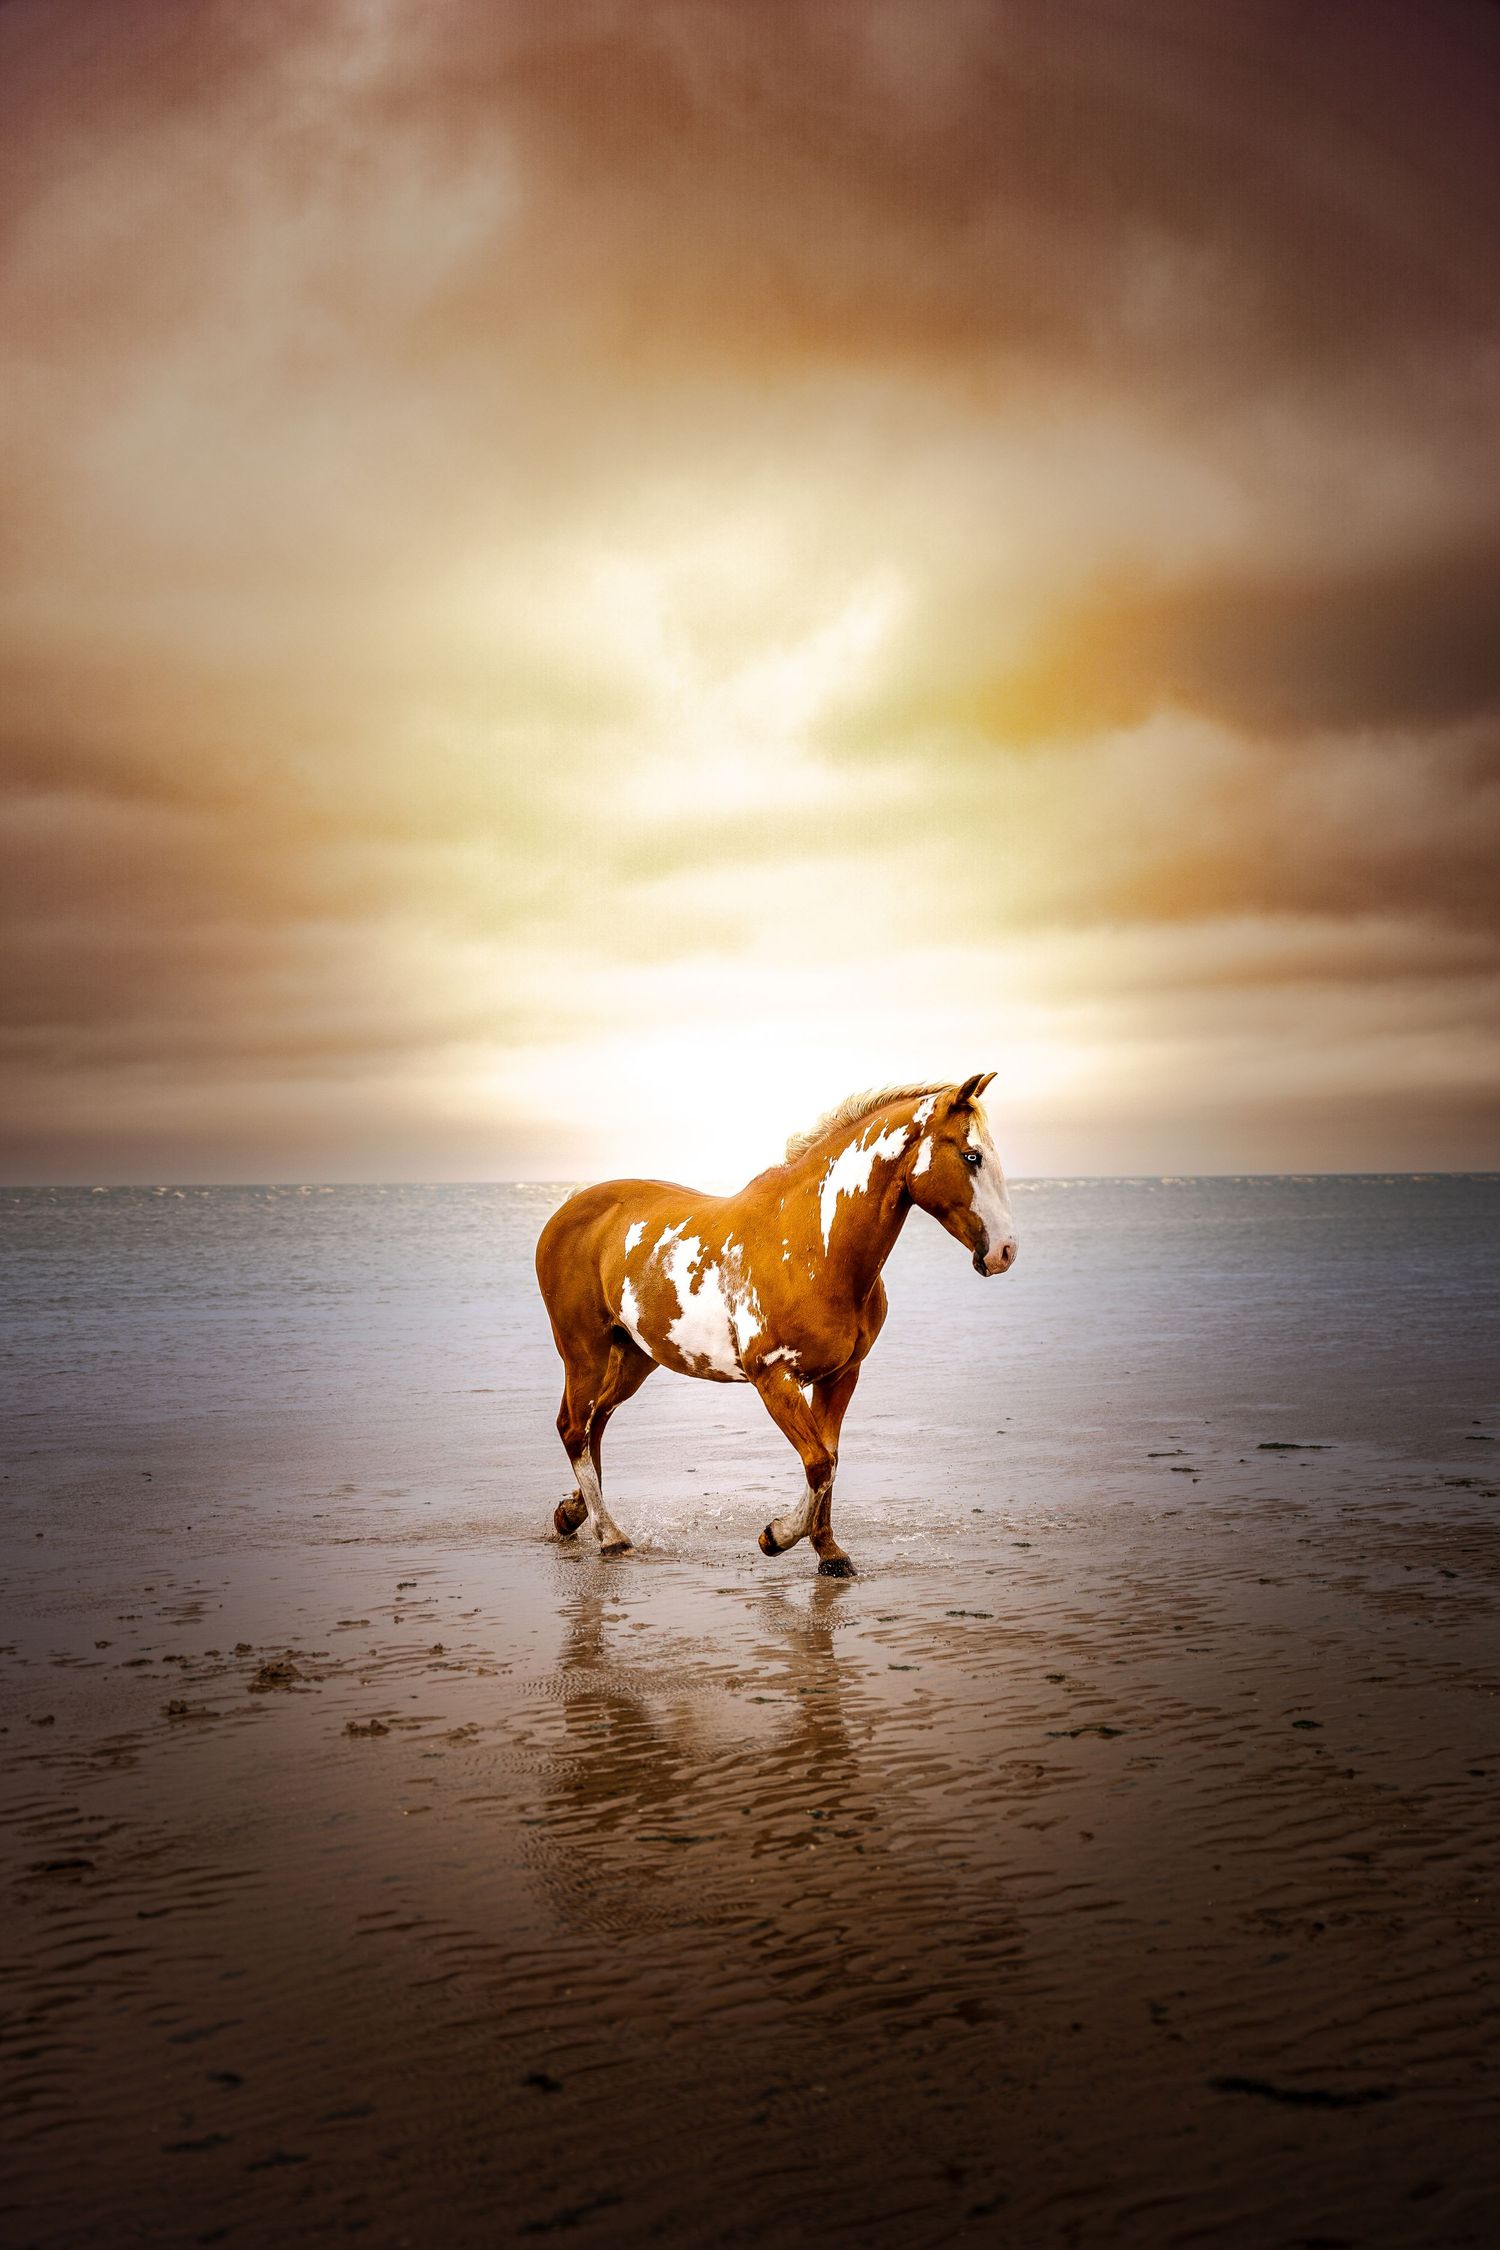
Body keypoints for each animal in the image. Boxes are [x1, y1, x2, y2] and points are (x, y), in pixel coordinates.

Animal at [534, 1073, 1019, 1576]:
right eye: (971, 1156)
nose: (1004, 1250)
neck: (815, 1247)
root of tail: (567, 1209)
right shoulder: (774, 1377)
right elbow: (819, 1463)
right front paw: (778, 1536)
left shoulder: (841, 1375)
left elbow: (829, 1458)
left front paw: (830, 1553)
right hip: (584, 1351)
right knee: (574, 1427)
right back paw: (610, 1536)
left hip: (634, 1357)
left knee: (596, 1422)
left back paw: (573, 1514)